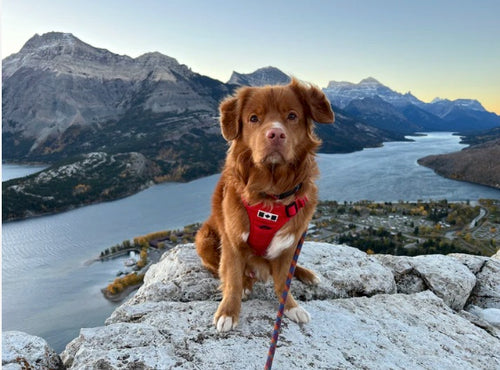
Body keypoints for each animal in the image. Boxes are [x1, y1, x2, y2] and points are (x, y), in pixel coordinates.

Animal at [194, 79, 332, 332]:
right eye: (253, 118)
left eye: (292, 115)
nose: (275, 133)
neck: (271, 196)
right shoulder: (232, 241)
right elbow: (232, 279)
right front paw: (228, 311)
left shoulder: (289, 243)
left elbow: (283, 282)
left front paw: (290, 306)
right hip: (205, 238)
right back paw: (247, 283)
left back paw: (306, 274)